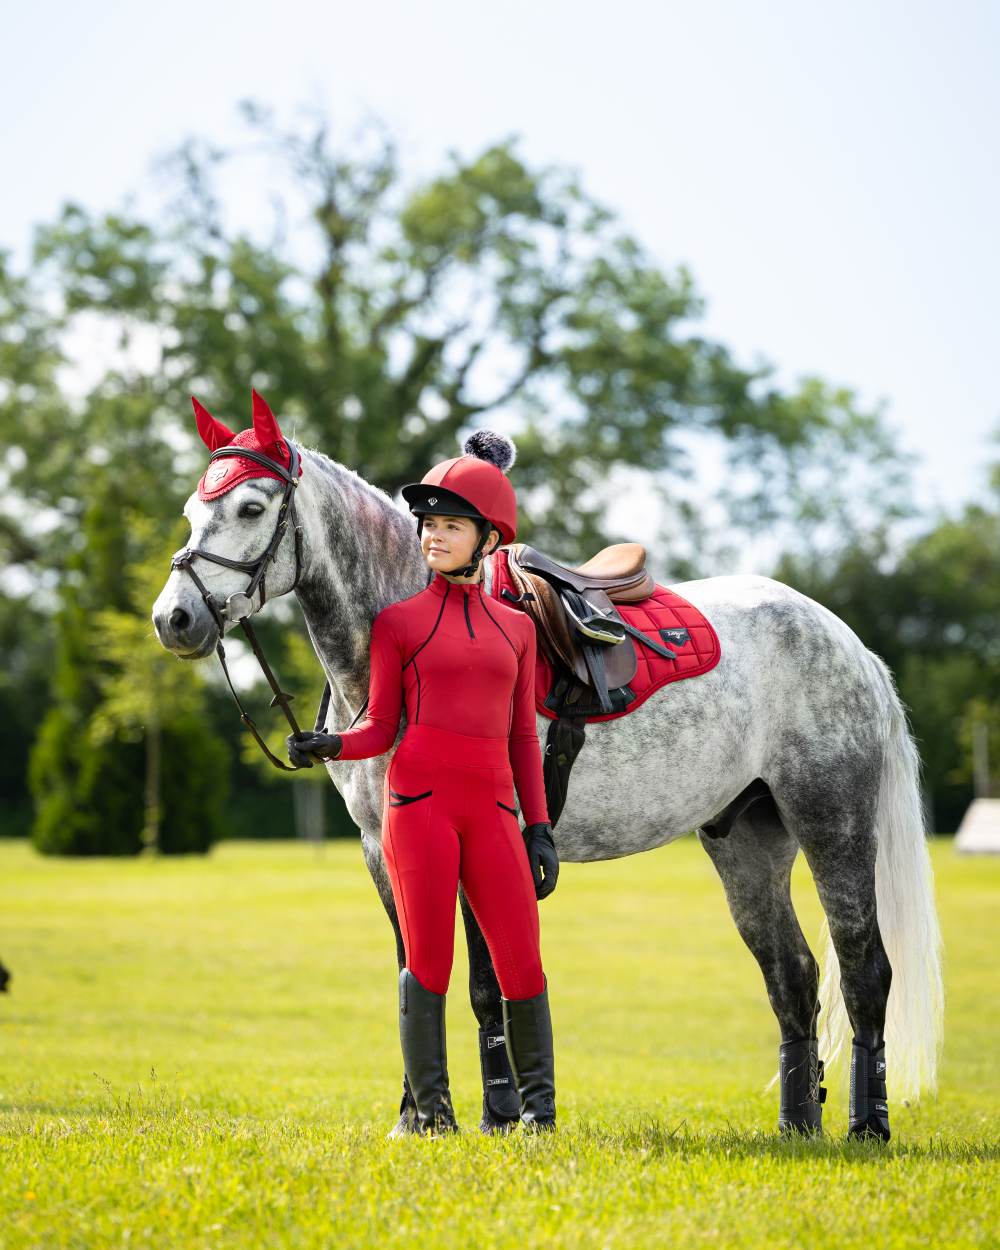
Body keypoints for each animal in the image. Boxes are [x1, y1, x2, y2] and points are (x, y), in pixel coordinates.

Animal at [152, 435, 940, 1140]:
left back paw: (867, 1125)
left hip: (832, 823)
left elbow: (483, 982)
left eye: (252, 507)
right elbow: (416, 969)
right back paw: (797, 1127)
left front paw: (496, 1115)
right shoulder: (386, 846)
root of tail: (847, 642)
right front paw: (418, 1116)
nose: (173, 619)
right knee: (794, 977)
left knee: (864, 968)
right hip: (745, 840)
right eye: (192, 510)